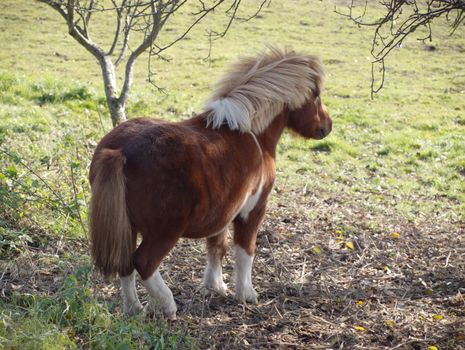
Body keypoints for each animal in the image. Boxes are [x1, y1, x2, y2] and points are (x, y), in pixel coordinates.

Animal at [89, 47, 332, 320]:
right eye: (316, 96)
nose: (327, 126)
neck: (250, 132)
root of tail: (119, 151)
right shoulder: (252, 210)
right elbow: (245, 251)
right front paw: (246, 294)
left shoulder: (224, 211)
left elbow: (217, 247)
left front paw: (215, 286)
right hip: (164, 233)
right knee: (144, 262)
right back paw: (168, 305)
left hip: (127, 226)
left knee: (125, 265)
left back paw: (134, 309)